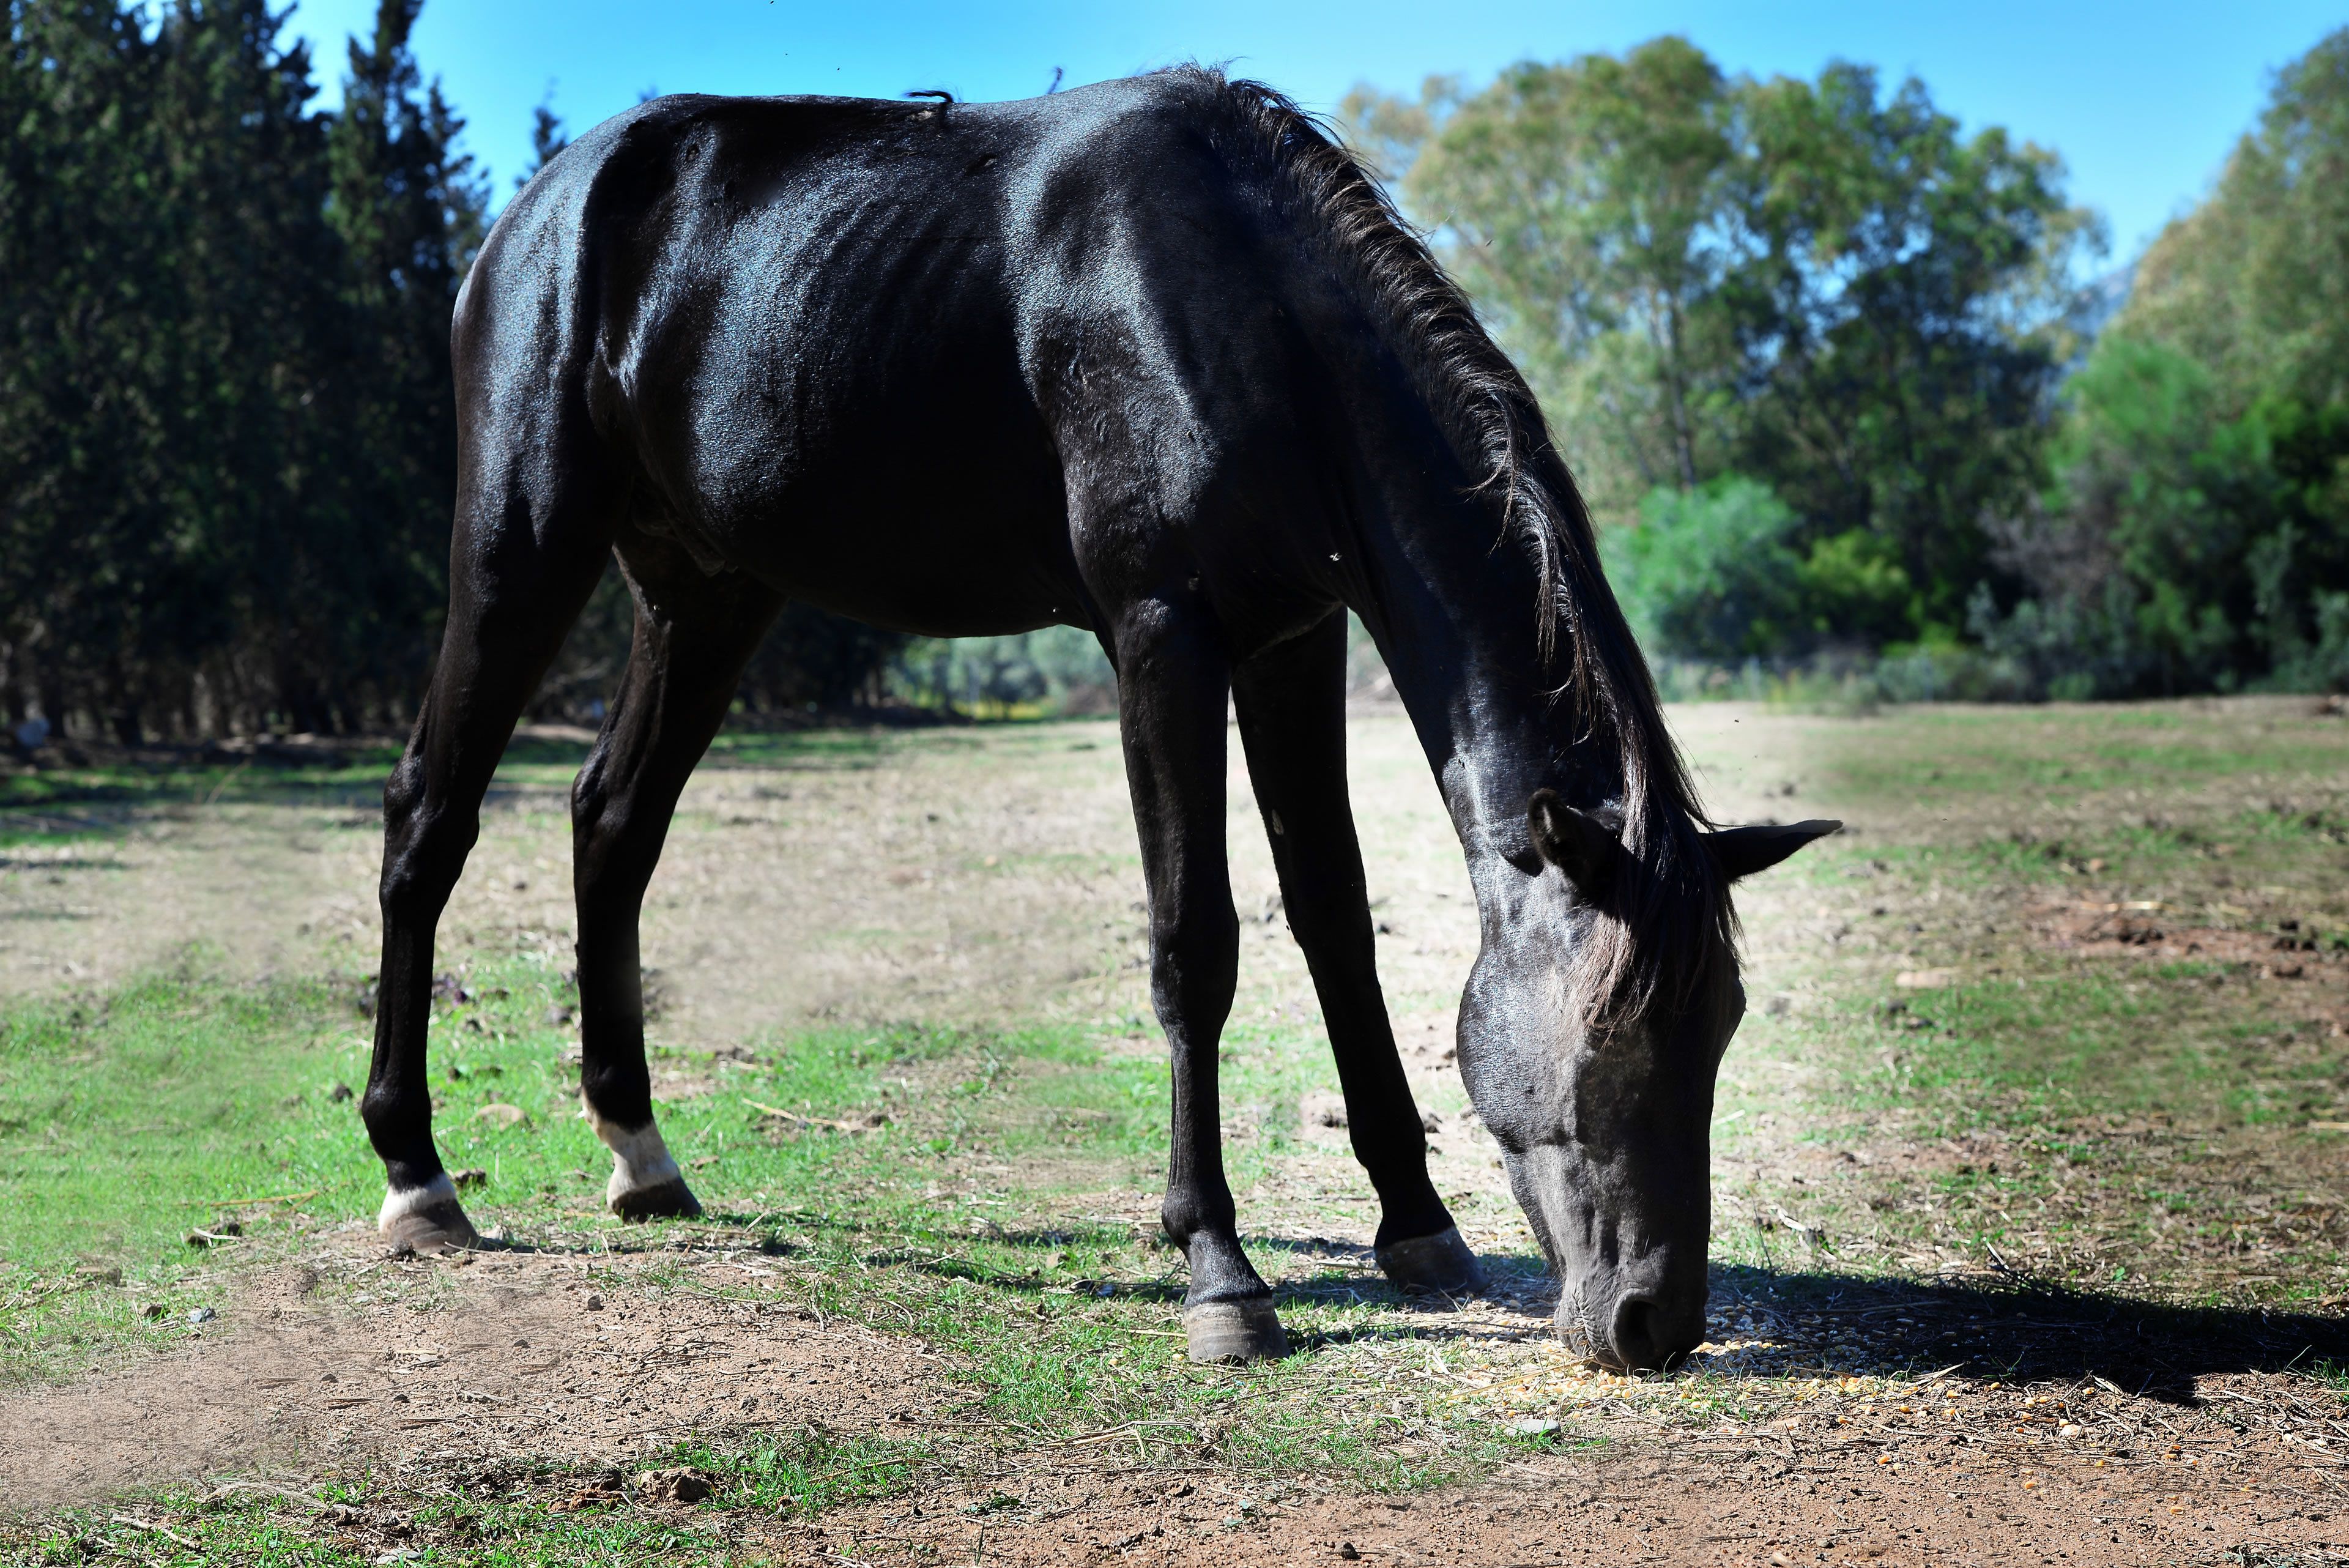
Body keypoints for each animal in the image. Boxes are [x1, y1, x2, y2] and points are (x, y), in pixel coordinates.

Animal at [362, 66, 1837, 1370]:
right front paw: (1220, 1270)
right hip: (522, 548)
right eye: (1609, 1035)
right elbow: (1198, 943)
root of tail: (536, 210)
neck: (1246, 306)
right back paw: (419, 1177)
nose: (1655, 1321)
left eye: (1721, 1026)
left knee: (613, 823)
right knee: (429, 820)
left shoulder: (1294, 640)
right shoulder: (1162, 637)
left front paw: (1414, 1223)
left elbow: (1333, 920)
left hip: (708, 596)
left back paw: (642, 1156)